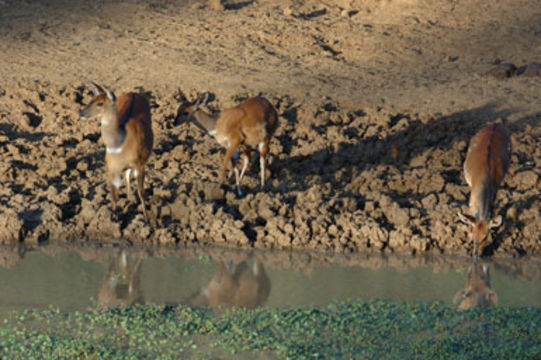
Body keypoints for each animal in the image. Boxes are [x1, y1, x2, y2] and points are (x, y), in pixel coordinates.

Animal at [79, 83, 153, 221]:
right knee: (127, 175)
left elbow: (141, 192)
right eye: (91, 99)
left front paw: (146, 218)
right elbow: (114, 196)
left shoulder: (140, 164)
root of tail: (133, 92)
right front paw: (112, 218)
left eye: (100, 103)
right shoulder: (112, 167)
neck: (120, 144)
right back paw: (129, 198)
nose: (80, 113)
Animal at [456, 124, 510, 256]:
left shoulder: (495, 189)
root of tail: (495, 124)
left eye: (485, 237)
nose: (476, 255)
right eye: (474, 233)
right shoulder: (471, 198)